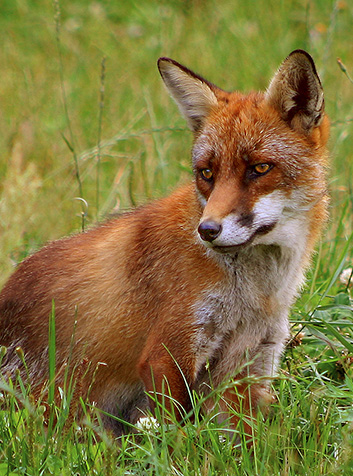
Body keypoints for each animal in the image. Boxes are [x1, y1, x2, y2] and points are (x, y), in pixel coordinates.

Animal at [0, 50, 328, 436]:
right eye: (206, 173)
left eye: (259, 169)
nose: (207, 230)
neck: (253, 293)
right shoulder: (168, 350)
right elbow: (175, 436)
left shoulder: (249, 362)